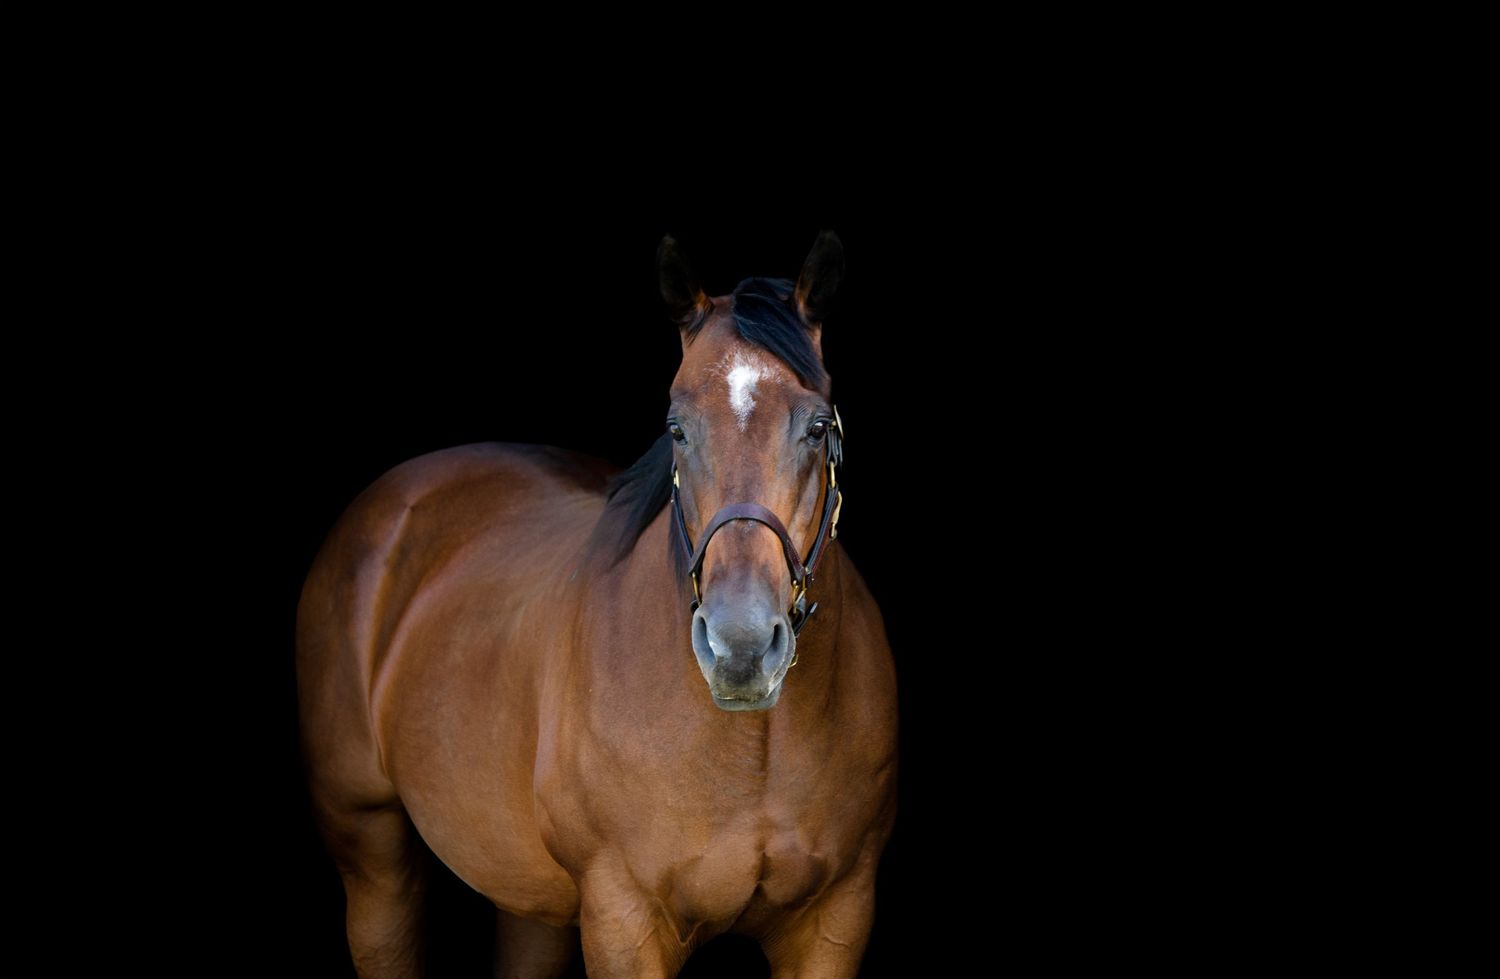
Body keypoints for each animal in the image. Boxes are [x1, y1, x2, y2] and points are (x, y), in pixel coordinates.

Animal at [296, 231, 898, 978]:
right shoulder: (623, 918)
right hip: (372, 853)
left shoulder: (835, 920)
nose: (740, 647)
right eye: (676, 427)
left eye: (817, 426)